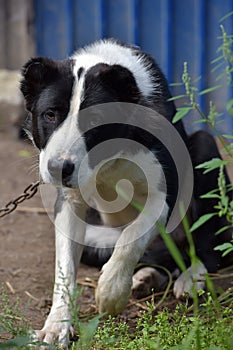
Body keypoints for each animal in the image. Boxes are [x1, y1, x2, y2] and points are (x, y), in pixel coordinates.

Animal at [20, 39, 231, 346]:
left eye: (95, 119)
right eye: (50, 114)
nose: (59, 168)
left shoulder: (164, 197)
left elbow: (131, 238)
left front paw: (110, 295)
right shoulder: (69, 202)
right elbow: (65, 268)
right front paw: (56, 325)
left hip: (203, 152)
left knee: (208, 245)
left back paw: (192, 277)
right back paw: (147, 277)